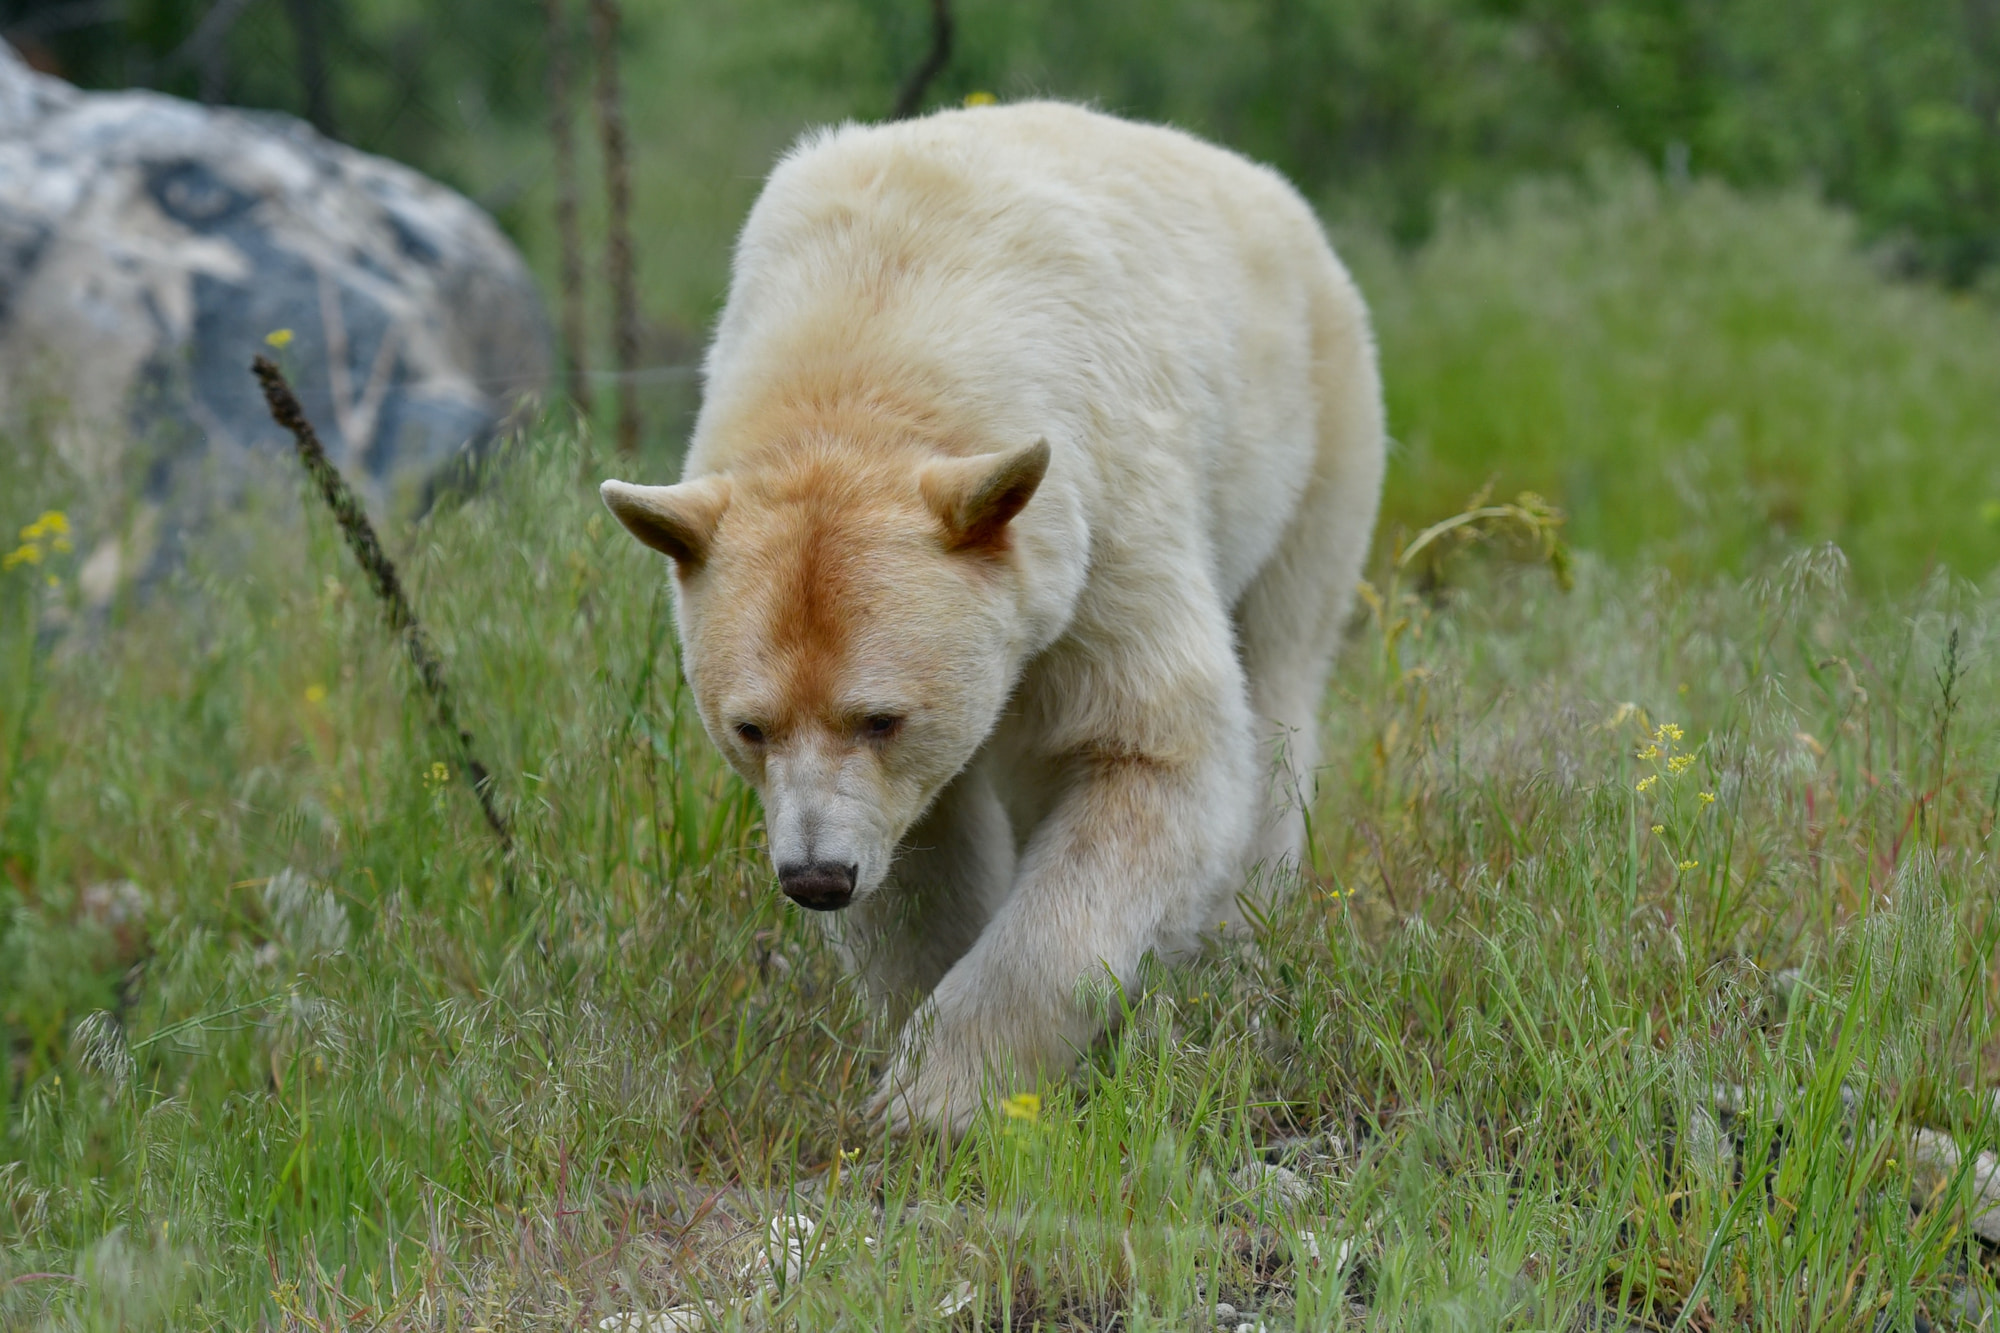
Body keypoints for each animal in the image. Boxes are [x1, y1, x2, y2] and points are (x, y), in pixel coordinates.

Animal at [601, 101, 1384, 1135]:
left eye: (883, 716)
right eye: (749, 726)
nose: (816, 876)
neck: (877, 316)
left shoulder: (1099, 512)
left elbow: (1152, 750)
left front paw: (938, 1097)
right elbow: (922, 855)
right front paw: (915, 1040)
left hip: (1308, 440)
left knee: (1279, 684)